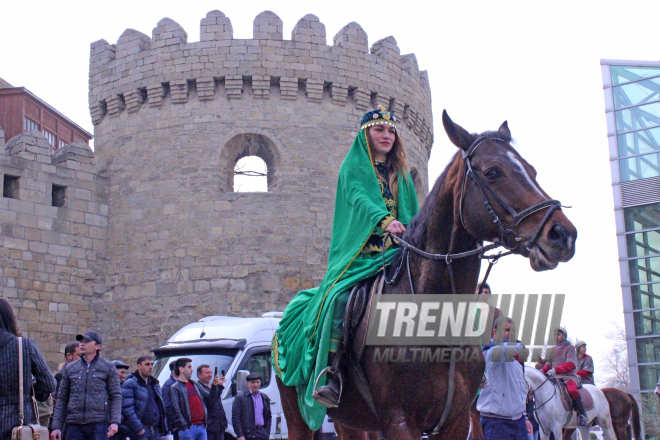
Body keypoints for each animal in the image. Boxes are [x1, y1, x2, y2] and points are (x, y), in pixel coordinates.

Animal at [276, 111, 576, 438]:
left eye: (531, 170)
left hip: (349, 419)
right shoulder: (399, 420)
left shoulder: (455, 420)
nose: (563, 235)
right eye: (493, 172)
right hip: (298, 413)